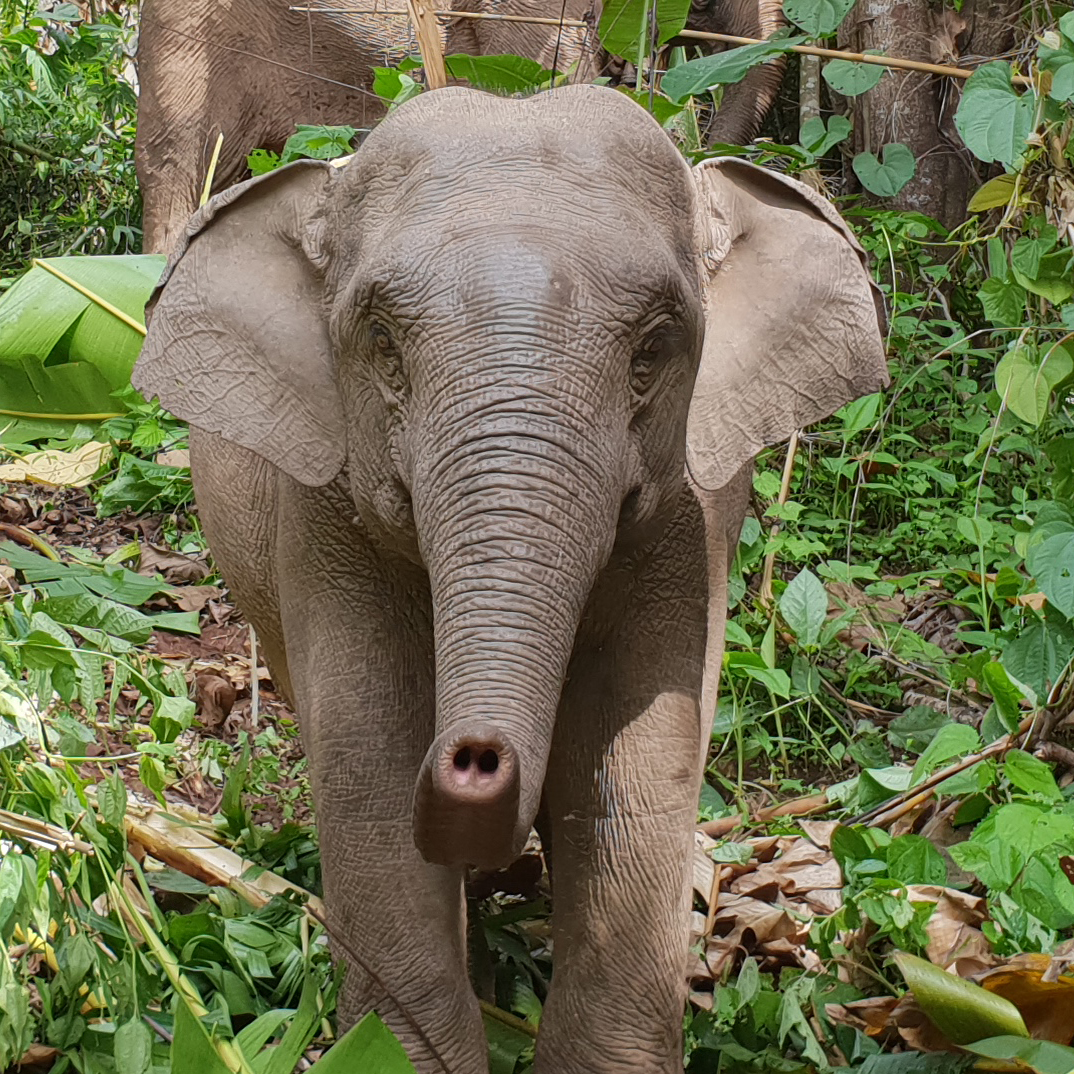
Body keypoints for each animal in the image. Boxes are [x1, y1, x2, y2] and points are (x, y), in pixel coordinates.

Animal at [133, 85, 887, 1072]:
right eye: (381, 341)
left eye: (654, 348)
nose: (477, 756)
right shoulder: (321, 515)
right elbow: (371, 770)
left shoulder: (692, 523)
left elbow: (632, 767)